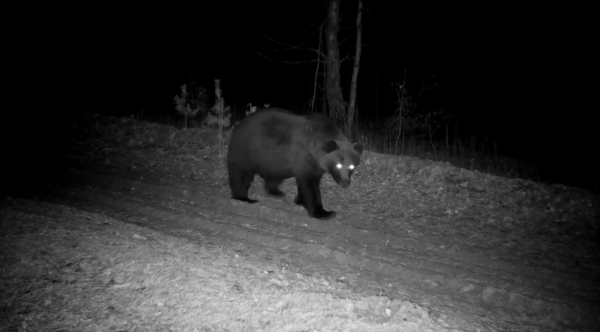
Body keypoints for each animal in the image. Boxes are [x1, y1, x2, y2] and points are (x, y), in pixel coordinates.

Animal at [226, 107, 364, 219]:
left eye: (352, 166)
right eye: (338, 165)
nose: (346, 183)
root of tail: (238, 124)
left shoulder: (316, 165)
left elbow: (311, 180)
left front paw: (299, 200)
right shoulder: (303, 156)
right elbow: (309, 184)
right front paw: (323, 212)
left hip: (274, 160)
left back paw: (276, 192)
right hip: (244, 150)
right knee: (241, 174)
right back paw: (243, 198)